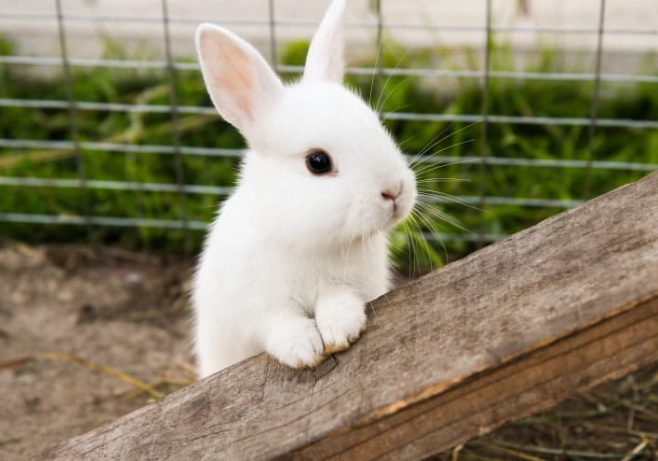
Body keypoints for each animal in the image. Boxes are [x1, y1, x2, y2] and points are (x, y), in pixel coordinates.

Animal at [192, 0, 417, 378]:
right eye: (318, 161)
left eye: (378, 125)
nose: (394, 191)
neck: (307, 239)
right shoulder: (259, 309)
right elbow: (280, 325)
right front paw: (304, 349)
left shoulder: (350, 286)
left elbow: (338, 301)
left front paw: (341, 330)